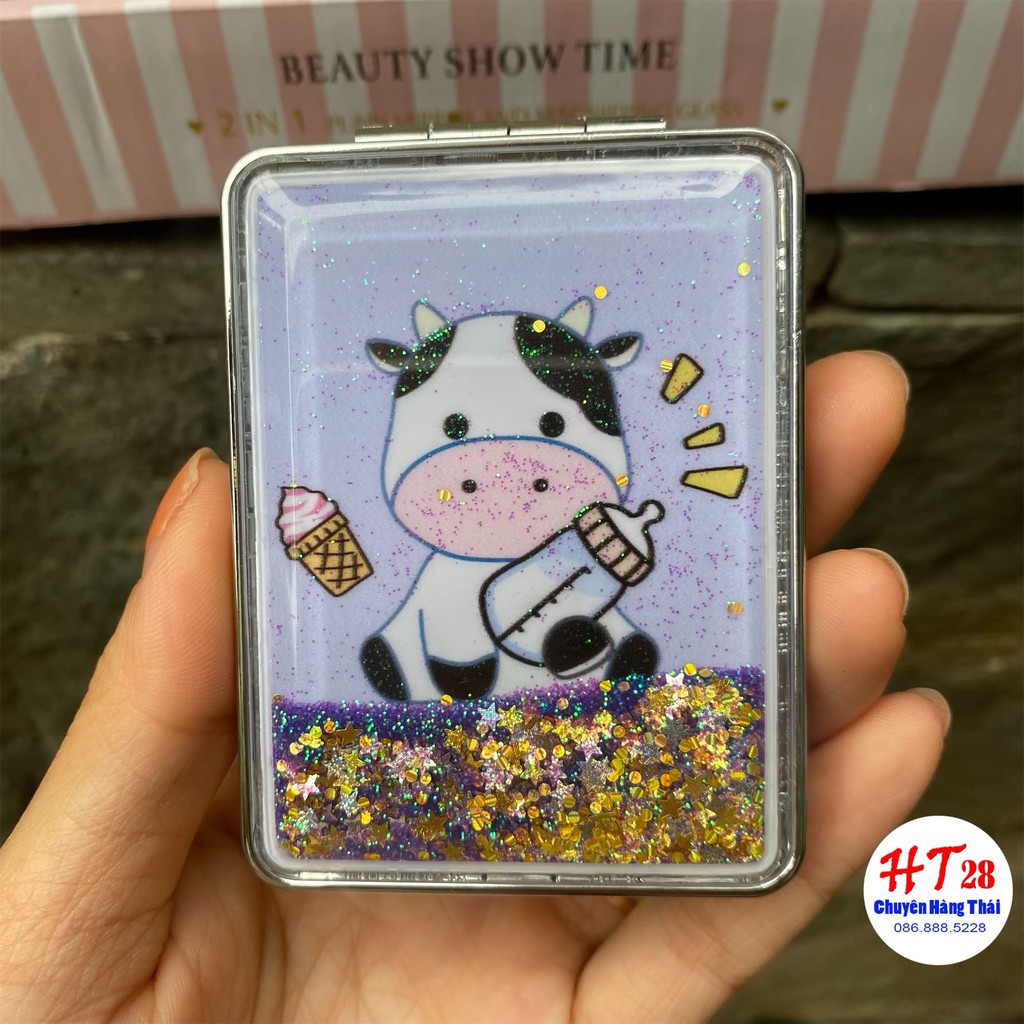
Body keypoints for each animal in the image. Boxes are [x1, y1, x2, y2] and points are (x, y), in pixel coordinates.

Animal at [361, 296, 660, 701]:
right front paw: (464, 692)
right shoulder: (442, 604)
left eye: (553, 424)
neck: (494, 562)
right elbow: (461, 666)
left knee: (636, 650)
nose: (503, 476)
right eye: (454, 425)